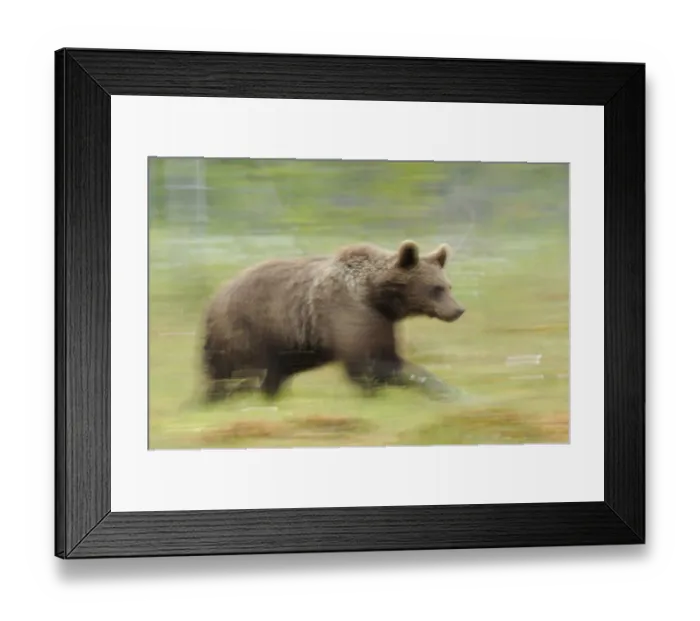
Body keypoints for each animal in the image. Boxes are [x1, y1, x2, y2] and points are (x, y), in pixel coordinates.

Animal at [201, 240, 466, 403]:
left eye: (448, 286)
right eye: (436, 288)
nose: (458, 310)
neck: (375, 295)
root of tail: (215, 297)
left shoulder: (381, 321)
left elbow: (384, 356)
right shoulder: (348, 313)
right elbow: (370, 364)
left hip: (280, 346)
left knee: (267, 376)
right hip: (250, 328)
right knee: (238, 373)